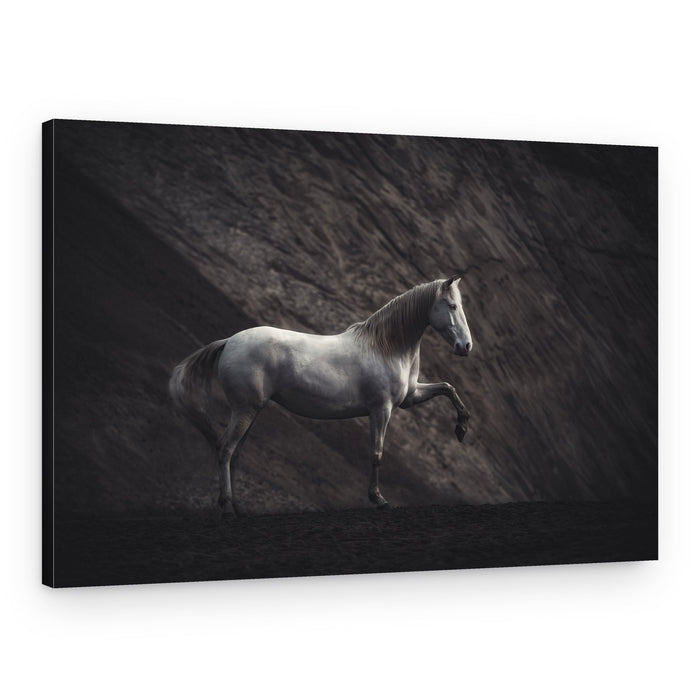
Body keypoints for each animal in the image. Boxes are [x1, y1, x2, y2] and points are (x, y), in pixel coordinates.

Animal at [169, 275, 473, 517]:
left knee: (236, 452)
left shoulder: (410, 397)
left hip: (252, 410)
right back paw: (228, 507)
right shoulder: (381, 409)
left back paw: (240, 508)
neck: (386, 348)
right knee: (225, 449)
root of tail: (229, 342)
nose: (466, 347)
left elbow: (448, 388)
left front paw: (461, 428)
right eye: (452, 306)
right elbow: (376, 453)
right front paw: (378, 499)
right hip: (245, 409)